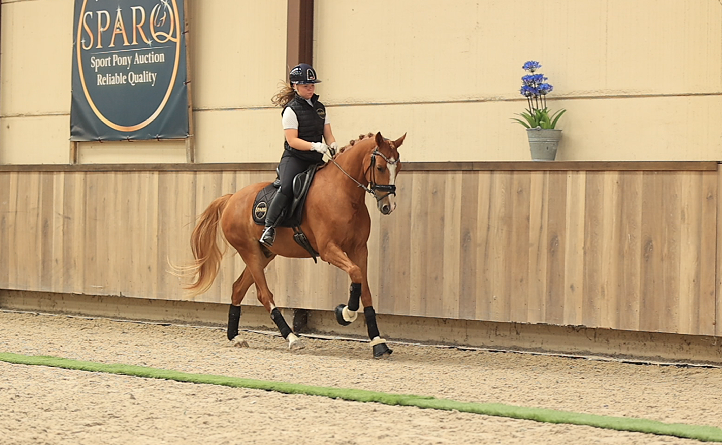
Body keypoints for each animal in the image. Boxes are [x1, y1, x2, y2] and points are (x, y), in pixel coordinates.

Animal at [183, 131, 406, 358]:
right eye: (380, 167)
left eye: (398, 167)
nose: (388, 206)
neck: (342, 193)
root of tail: (231, 199)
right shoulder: (328, 249)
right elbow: (355, 273)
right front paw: (345, 313)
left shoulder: (359, 249)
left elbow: (364, 288)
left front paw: (378, 342)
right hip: (250, 252)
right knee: (264, 295)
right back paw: (291, 338)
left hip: (264, 255)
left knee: (238, 288)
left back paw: (236, 337)